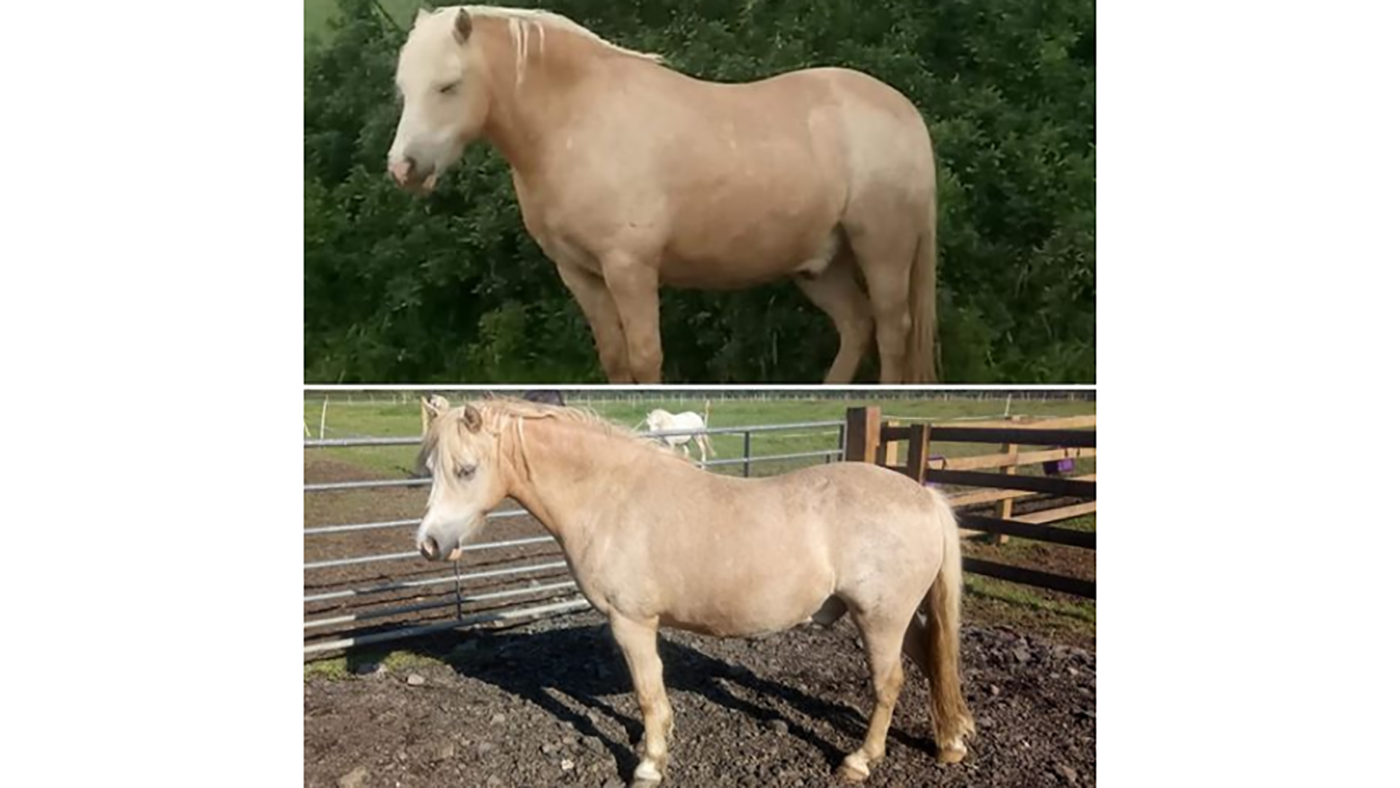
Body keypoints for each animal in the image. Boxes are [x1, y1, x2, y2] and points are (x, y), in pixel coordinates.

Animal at [387, 6, 941, 384]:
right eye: (403, 88)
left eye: (448, 85)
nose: (403, 168)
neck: (577, 118)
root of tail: (905, 112)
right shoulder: (579, 273)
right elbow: (615, 358)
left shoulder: (630, 268)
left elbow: (645, 357)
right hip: (820, 265)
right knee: (857, 324)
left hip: (883, 251)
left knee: (892, 329)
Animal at [415, 399, 974, 785]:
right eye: (431, 469)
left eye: (466, 469)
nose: (428, 543)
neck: (610, 496)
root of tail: (923, 494)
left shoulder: (632, 622)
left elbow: (648, 694)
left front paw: (649, 764)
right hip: (894, 618)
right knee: (931, 659)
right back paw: (950, 741)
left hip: (880, 619)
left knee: (889, 684)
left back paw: (861, 760)